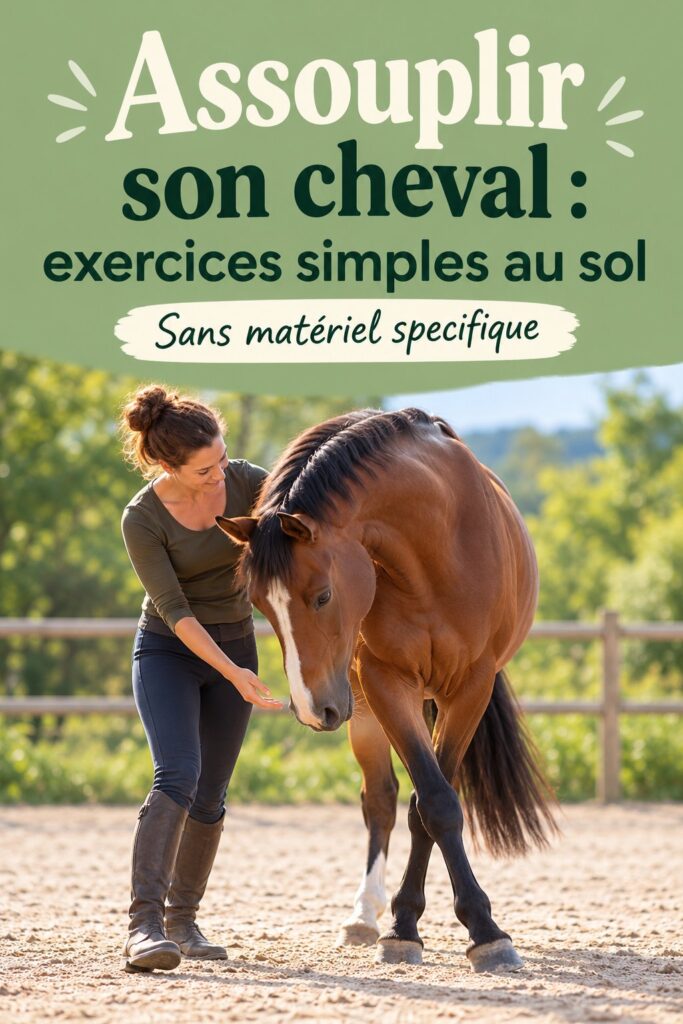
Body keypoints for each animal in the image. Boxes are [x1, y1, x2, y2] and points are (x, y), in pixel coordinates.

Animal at [217, 407, 556, 973]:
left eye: (322, 596)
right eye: (261, 605)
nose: (310, 709)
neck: (436, 547)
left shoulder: (470, 687)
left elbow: (435, 804)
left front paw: (482, 931)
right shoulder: (385, 684)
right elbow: (430, 801)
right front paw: (405, 925)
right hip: (364, 709)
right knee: (380, 800)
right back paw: (365, 913)